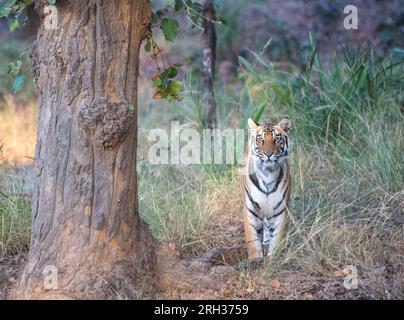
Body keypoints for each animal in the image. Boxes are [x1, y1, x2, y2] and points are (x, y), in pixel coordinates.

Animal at [241, 116, 292, 262]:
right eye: (260, 139)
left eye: (276, 139)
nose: (268, 154)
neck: (268, 173)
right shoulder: (251, 209)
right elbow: (252, 239)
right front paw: (255, 259)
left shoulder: (280, 210)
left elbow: (277, 237)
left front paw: (273, 258)